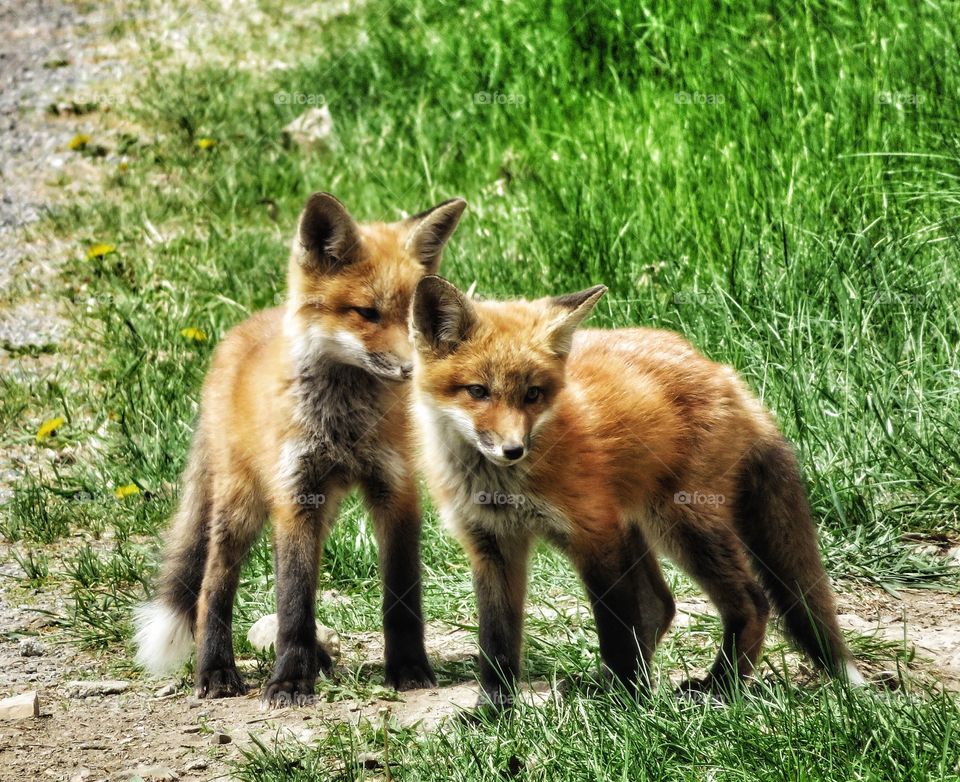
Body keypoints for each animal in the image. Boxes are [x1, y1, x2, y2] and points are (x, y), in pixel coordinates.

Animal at [134, 192, 466, 704]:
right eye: (367, 313)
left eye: (414, 314)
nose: (416, 371)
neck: (344, 423)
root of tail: (241, 330)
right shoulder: (294, 496)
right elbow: (292, 602)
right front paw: (289, 679)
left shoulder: (395, 488)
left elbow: (402, 596)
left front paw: (408, 668)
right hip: (241, 505)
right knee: (212, 587)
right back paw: (217, 671)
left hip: (320, 508)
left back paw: (318, 661)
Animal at [409, 275, 865, 711]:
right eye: (478, 391)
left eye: (532, 394)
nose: (512, 449)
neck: (501, 486)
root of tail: (723, 371)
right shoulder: (491, 544)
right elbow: (497, 640)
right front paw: (494, 710)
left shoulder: (595, 532)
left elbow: (614, 626)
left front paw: (627, 708)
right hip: (641, 527)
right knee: (660, 606)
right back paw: (617, 682)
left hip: (680, 523)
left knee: (751, 602)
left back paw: (719, 687)